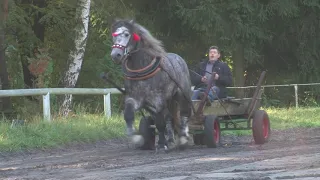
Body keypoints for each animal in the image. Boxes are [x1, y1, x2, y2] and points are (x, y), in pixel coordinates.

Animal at [110, 19, 192, 152]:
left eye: (127, 34)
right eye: (114, 35)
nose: (115, 55)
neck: (140, 70)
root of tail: (179, 58)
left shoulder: (157, 101)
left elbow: (160, 123)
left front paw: (162, 144)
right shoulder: (135, 98)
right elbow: (128, 114)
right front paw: (137, 138)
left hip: (182, 94)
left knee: (184, 114)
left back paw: (183, 138)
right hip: (168, 100)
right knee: (169, 117)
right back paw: (171, 139)